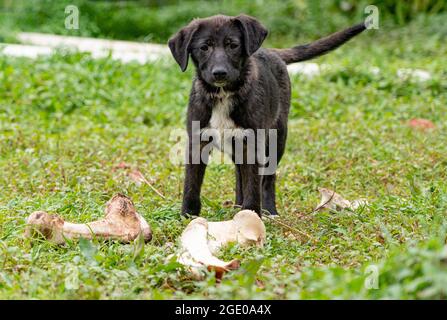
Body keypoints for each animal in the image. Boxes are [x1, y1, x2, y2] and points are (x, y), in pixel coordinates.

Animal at [168, 14, 368, 215]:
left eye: (233, 45)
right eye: (204, 47)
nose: (219, 73)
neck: (223, 94)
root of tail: (271, 51)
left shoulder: (252, 142)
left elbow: (254, 183)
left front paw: (251, 213)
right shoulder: (197, 140)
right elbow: (192, 183)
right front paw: (188, 213)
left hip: (277, 136)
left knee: (268, 178)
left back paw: (270, 210)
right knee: (240, 174)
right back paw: (238, 205)